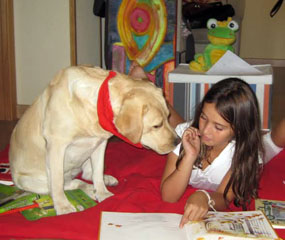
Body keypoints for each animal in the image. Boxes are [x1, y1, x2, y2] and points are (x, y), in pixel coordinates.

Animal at [10, 66, 179, 216]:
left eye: (168, 117)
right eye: (157, 125)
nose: (177, 142)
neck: (98, 103)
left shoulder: (100, 143)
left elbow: (97, 172)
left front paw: (103, 193)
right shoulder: (57, 145)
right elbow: (57, 183)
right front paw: (63, 206)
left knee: (86, 174)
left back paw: (105, 180)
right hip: (30, 180)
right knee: (68, 183)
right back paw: (88, 190)